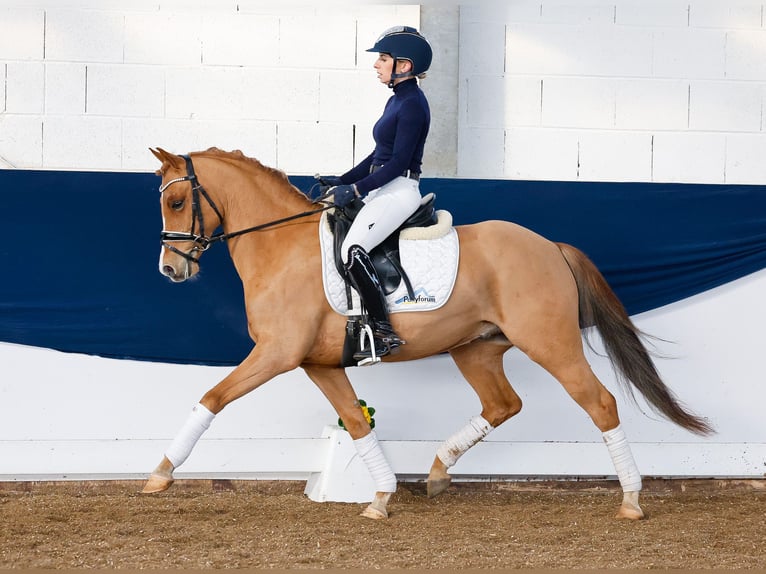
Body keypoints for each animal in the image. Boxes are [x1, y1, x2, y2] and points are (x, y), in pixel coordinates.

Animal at [142, 147, 712, 520]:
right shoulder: (317, 363)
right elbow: (356, 422)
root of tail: (550, 245)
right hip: (476, 349)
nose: (171, 270)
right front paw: (380, 497)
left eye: (176, 203)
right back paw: (437, 473)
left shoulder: (277, 354)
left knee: (599, 403)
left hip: (550, 343)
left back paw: (631, 500)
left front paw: (161, 474)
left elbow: (212, 397)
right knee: (503, 404)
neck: (281, 247)